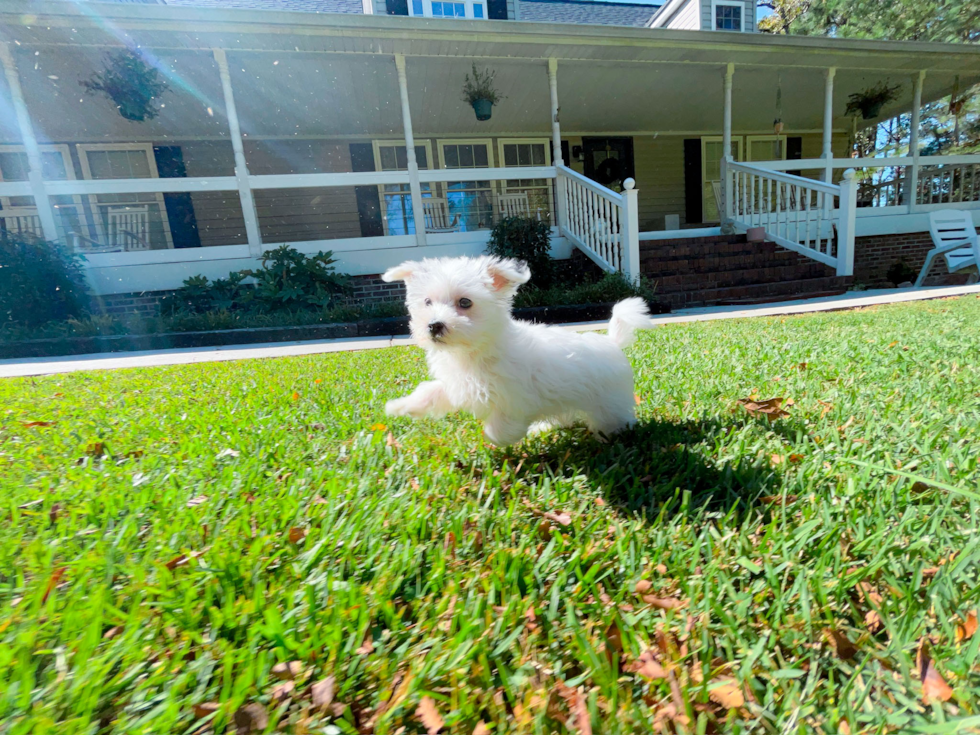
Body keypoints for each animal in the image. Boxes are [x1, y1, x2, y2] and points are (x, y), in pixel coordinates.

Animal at [382, 256, 652, 446]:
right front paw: (399, 406)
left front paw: (495, 439)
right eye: (427, 302)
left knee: (614, 418)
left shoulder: (514, 400)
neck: (473, 352)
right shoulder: (457, 385)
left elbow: (500, 427)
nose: (434, 325)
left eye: (465, 302)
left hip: (608, 402)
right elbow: (431, 392)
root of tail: (611, 341)